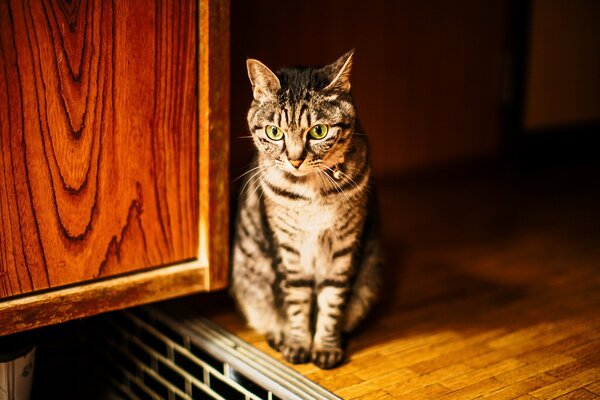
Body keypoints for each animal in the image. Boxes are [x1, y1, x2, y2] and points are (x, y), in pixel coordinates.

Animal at [232, 51, 382, 370]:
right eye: (274, 132)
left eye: (319, 131)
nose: (295, 159)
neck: (312, 193)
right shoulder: (287, 250)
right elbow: (297, 301)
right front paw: (298, 343)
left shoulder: (343, 247)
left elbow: (332, 301)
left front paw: (325, 347)